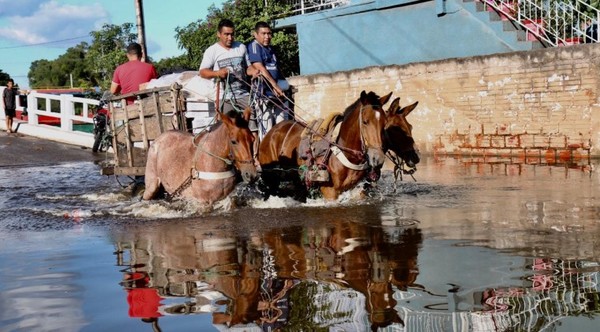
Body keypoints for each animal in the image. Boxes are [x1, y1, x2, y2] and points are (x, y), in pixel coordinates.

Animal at [258, 90, 394, 200]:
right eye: (365, 122)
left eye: (385, 122)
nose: (378, 158)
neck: (345, 152)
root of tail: (270, 133)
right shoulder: (330, 193)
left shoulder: (359, 190)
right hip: (270, 178)